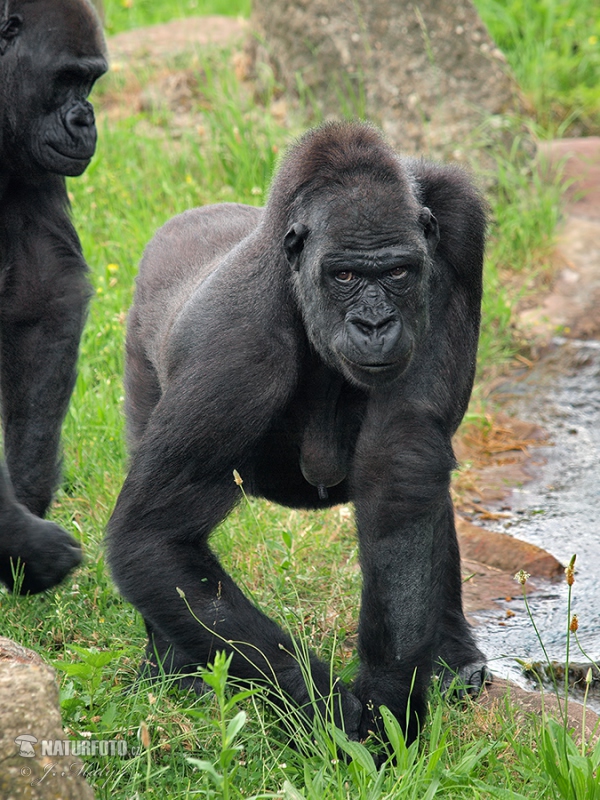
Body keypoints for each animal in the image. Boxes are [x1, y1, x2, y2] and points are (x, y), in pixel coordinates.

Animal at [108, 122, 490, 740]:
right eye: (345, 275)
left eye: (398, 272)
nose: (374, 323)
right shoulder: (238, 348)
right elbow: (153, 537)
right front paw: (331, 713)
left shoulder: (456, 226)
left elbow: (402, 458)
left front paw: (391, 697)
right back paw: (171, 668)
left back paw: (453, 653)